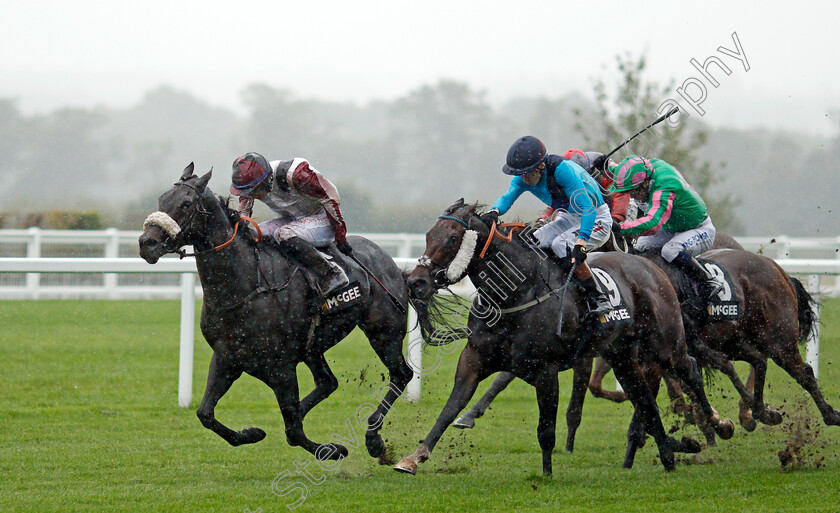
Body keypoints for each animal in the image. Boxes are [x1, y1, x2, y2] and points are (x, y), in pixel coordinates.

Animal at [139, 165, 414, 464]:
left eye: (186, 204)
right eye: (161, 199)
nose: (146, 243)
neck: (246, 285)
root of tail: (392, 264)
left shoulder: (281, 368)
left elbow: (294, 430)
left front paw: (333, 450)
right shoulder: (226, 358)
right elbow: (205, 414)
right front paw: (252, 433)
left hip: (383, 330)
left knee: (401, 374)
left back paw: (374, 439)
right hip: (313, 347)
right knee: (327, 383)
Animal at [390, 198, 732, 474]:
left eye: (452, 237)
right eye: (428, 236)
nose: (417, 282)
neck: (515, 293)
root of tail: (650, 265)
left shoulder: (546, 369)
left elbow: (546, 430)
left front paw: (546, 474)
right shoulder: (474, 359)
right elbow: (451, 408)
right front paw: (413, 457)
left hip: (665, 344)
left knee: (688, 369)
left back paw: (720, 425)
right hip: (622, 356)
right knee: (645, 399)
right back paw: (668, 457)